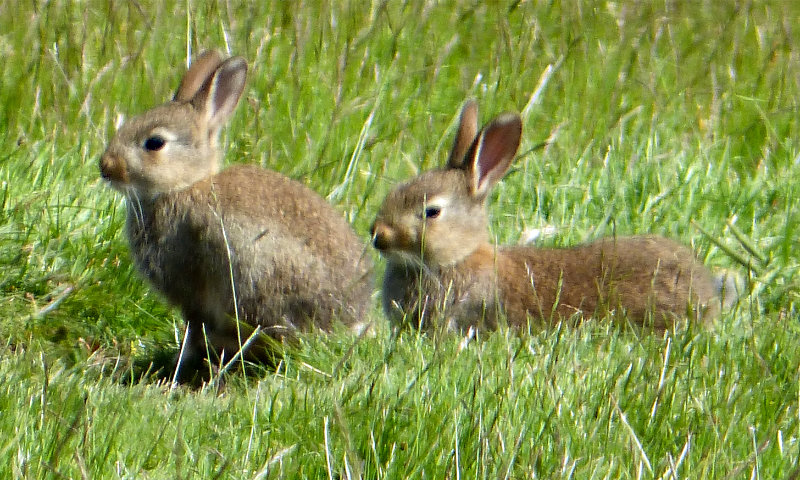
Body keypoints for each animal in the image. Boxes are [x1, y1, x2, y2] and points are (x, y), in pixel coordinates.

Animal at [99, 51, 373, 381]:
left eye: (154, 143)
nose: (105, 166)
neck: (185, 185)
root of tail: (351, 322)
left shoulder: (192, 292)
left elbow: (193, 329)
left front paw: (179, 368)